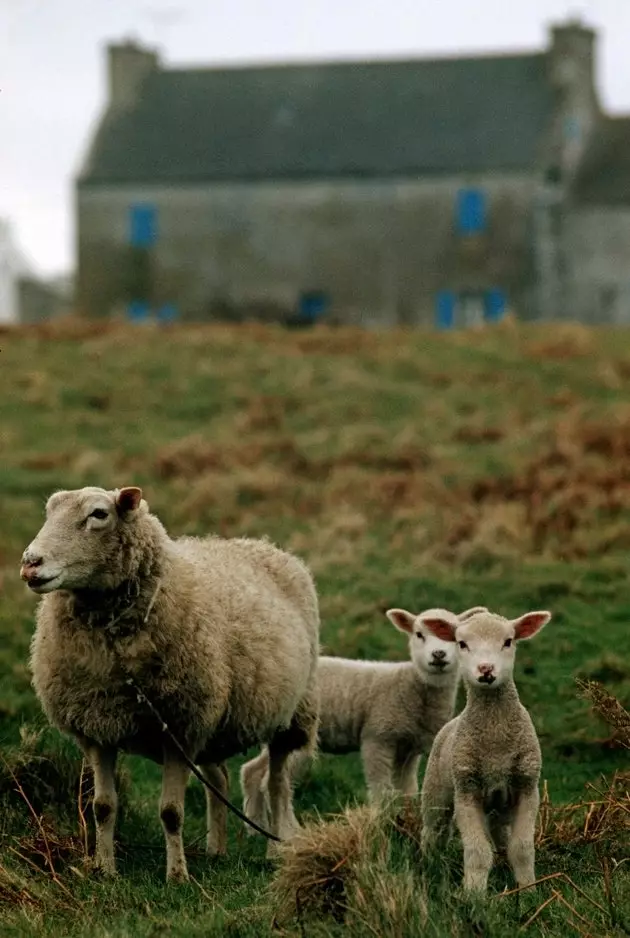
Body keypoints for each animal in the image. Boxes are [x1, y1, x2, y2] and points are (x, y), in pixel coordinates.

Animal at [19, 486, 320, 880]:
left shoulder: (179, 729)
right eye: (49, 511)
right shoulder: (99, 728)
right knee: (219, 780)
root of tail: (263, 545)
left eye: (99, 515)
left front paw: (177, 876)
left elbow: (171, 812)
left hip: (290, 716)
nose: (30, 563)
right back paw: (215, 850)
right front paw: (105, 870)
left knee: (277, 786)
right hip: (212, 723)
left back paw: (275, 851)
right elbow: (102, 806)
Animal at [241, 604, 488, 824]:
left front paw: (409, 822)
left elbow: (408, 791)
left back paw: (256, 826)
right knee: (271, 782)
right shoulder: (377, 738)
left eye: (456, 639)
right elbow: (381, 791)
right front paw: (382, 824)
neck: (412, 686)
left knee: (253, 772)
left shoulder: (408, 750)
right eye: (419, 634)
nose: (439, 655)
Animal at [420, 608, 552, 892]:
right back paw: (429, 864)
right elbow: (478, 851)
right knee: (433, 831)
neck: (495, 741)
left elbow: (522, 848)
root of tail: (452, 722)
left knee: (500, 834)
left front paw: (528, 889)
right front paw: (473, 893)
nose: (486, 669)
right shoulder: (466, 789)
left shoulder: (527, 785)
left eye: (508, 641)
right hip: (436, 791)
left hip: (499, 805)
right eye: (461, 644)